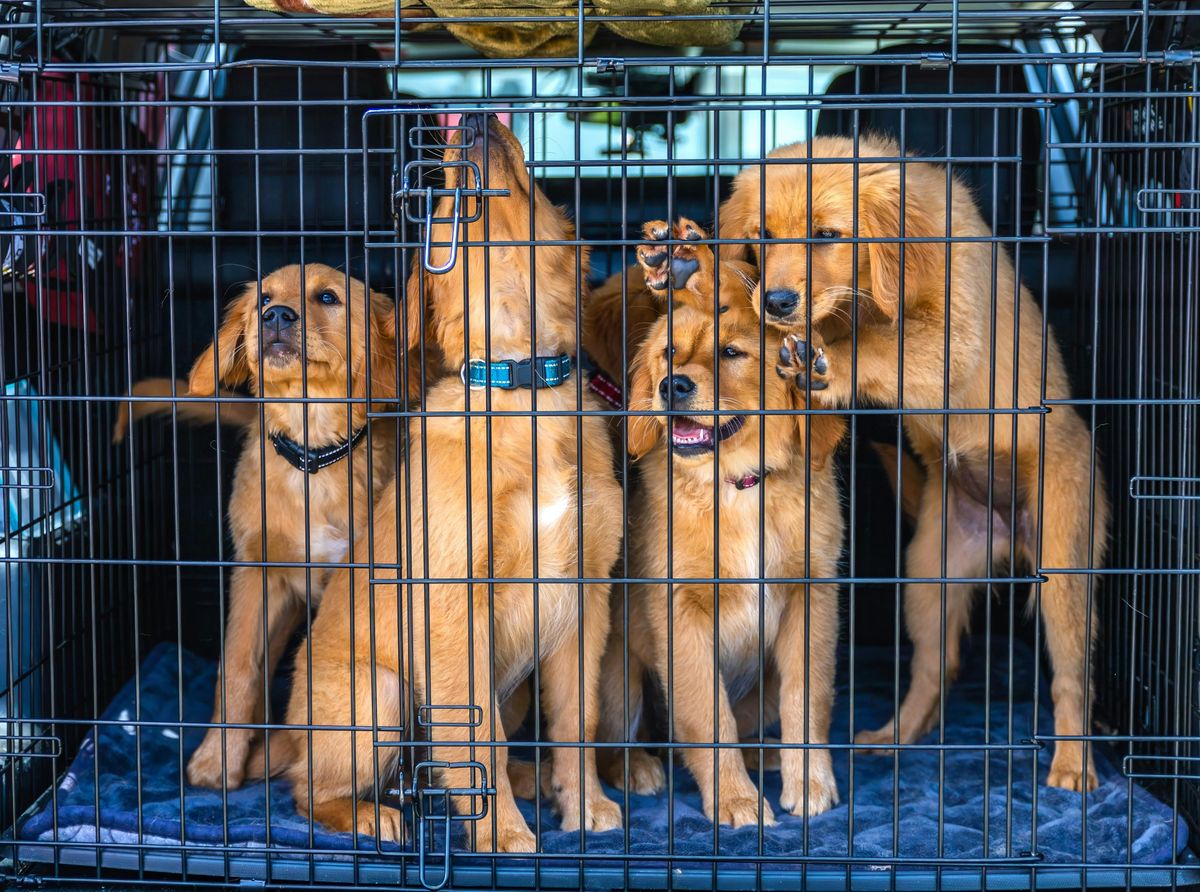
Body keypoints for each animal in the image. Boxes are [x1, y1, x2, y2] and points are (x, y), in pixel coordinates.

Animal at [120, 262, 403, 787]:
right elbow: (237, 670)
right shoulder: (256, 574)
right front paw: (217, 760)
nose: (277, 316)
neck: (312, 458)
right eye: (264, 299)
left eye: (328, 298)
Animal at [267, 113, 624, 849]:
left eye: (539, 188)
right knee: (308, 790)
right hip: (379, 694)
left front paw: (585, 804)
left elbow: (576, 721)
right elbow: (480, 737)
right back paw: (375, 816)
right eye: (438, 210)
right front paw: (501, 836)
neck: (521, 387)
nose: (477, 117)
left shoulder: (585, 599)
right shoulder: (455, 602)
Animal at [597, 266, 849, 830]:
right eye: (668, 353)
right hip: (617, 669)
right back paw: (638, 767)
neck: (738, 486)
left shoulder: (812, 600)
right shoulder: (681, 612)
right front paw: (734, 798)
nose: (672, 386)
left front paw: (809, 781)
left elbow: (808, 699)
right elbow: (709, 716)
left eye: (732, 353)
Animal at [715, 132, 1108, 787]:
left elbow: (878, 344)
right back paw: (895, 737)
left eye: (827, 235)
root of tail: (1008, 530)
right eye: (763, 236)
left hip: (1064, 565)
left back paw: (1073, 764)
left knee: (1073, 675)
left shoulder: (954, 338)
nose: (775, 302)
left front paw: (824, 357)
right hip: (928, 575)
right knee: (935, 667)